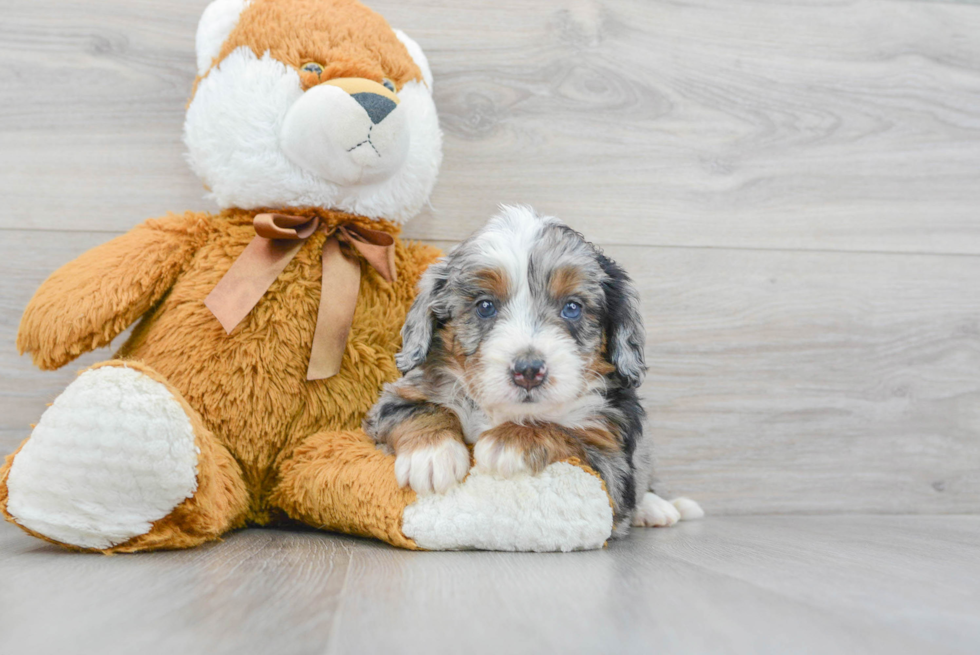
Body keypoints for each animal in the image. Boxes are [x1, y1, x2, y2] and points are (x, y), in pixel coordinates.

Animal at [364, 208, 700, 536]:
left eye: (572, 308)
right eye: (485, 306)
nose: (528, 370)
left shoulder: (611, 466)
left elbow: (569, 431)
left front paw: (510, 441)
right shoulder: (393, 400)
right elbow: (420, 409)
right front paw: (432, 455)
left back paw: (658, 508)